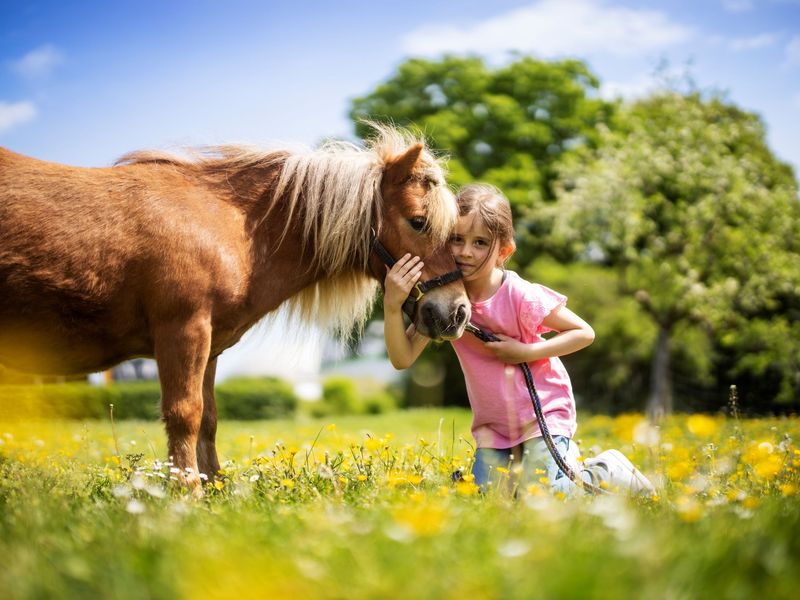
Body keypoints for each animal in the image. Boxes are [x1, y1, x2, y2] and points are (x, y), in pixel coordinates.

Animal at [0, 124, 468, 490]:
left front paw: (214, 489)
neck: (226, 224)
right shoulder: (183, 332)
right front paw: (186, 495)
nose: (458, 312)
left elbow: (208, 418)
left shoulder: (208, 347)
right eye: (419, 222)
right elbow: (184, 414)